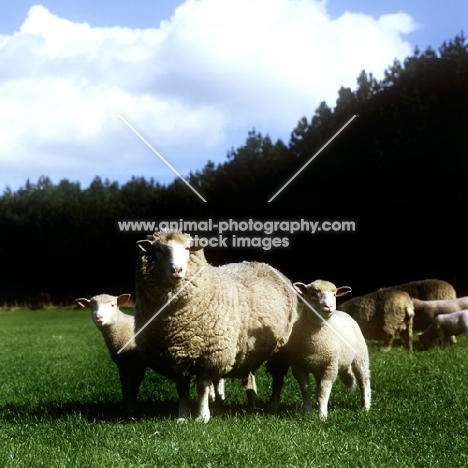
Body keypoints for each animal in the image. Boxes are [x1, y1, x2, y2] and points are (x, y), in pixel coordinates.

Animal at [133, 230, 298, 424]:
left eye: (187, 248)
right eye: (158, 249)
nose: (176, 270)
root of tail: (261, 263)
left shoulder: (208, 355)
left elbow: (202, 388)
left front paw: (202, 416)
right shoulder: (176, 358)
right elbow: (182, 389)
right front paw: (182, 417)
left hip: (281, 347)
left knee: (278, 378)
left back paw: (272, 405)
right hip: (248, 349)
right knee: (249, 376)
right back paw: (251, 403)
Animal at [288, 280, 372, 418]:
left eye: (334, 294)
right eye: (313, 293)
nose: (329, 306)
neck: (314, 343)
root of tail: (341, 312)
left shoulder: (330, 366)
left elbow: (323, 392)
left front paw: (322, 416)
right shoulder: (298, 366)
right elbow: (306, 390)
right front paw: (309, 414)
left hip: (361, 355)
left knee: (364, 380)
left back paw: (366, 407)